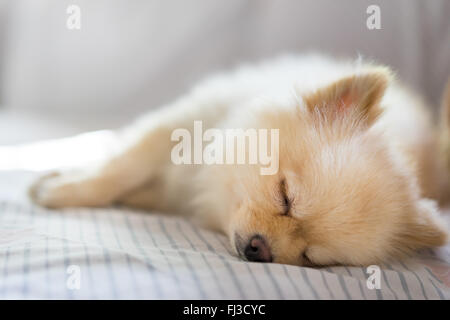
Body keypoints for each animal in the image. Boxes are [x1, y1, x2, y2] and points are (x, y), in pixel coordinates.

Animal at [29, 53, 448, 266]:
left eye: (309, 257)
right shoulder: (182, 124)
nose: (260, 250)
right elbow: (122, 168)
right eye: (285, 196)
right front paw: (63, 190)